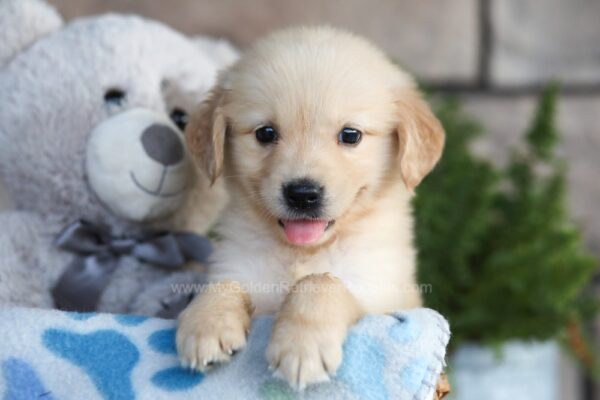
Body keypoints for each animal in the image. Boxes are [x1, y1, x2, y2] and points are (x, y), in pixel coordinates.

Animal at [176, 26, 442, 390]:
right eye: (265, 133)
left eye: (350, 135)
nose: (302, 194)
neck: (304, 251)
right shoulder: (240, 268)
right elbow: (224, 284)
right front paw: (206, 324)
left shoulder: (384, 298)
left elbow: (322, 282)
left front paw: (302, 347)